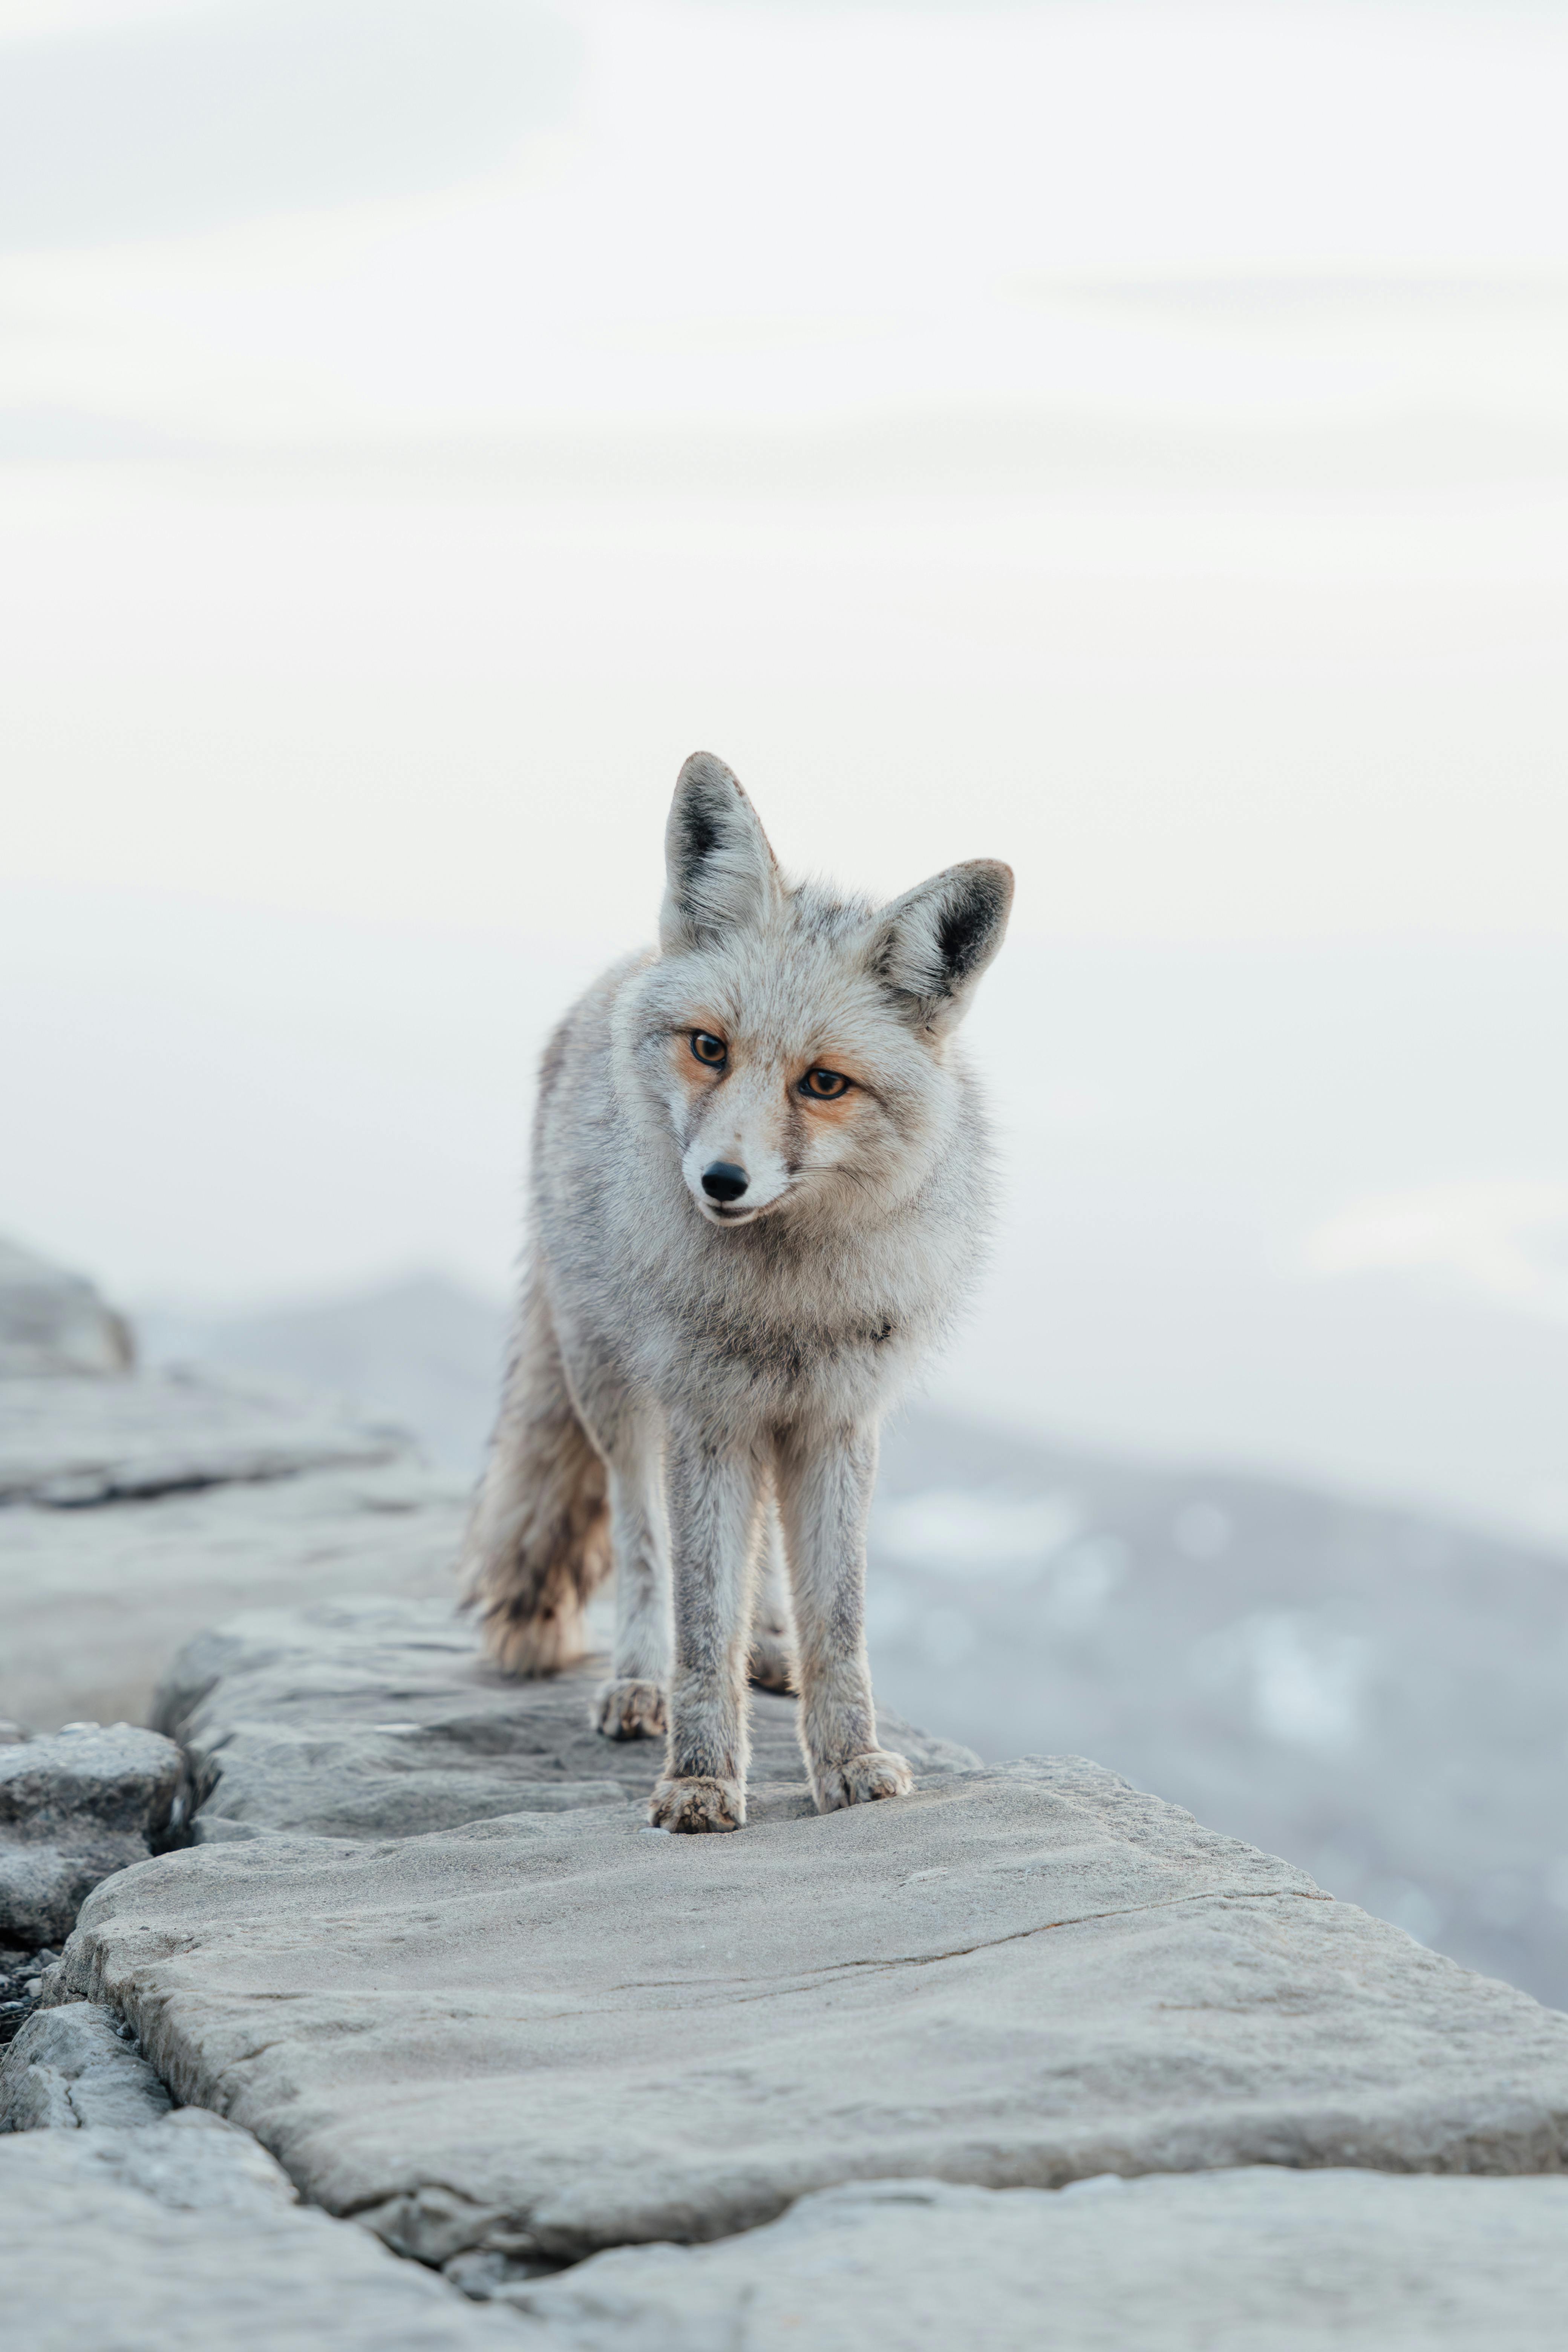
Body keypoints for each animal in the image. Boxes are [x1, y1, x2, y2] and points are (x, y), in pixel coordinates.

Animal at [460, 752, 1012, 1832]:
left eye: (824, 1084)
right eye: (709, 1048)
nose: (720, 1181)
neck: (783, 1304)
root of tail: (624, 965)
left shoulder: (836, 1417)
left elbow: (837, 1617)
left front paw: (849, 1760)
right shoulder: (706, 1415)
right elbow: (697, 1612)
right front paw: (700, 1778)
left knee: (757, 1558)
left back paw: (770, 1649)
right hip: (610, 1389)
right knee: (641, 1545)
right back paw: (639, 1683)